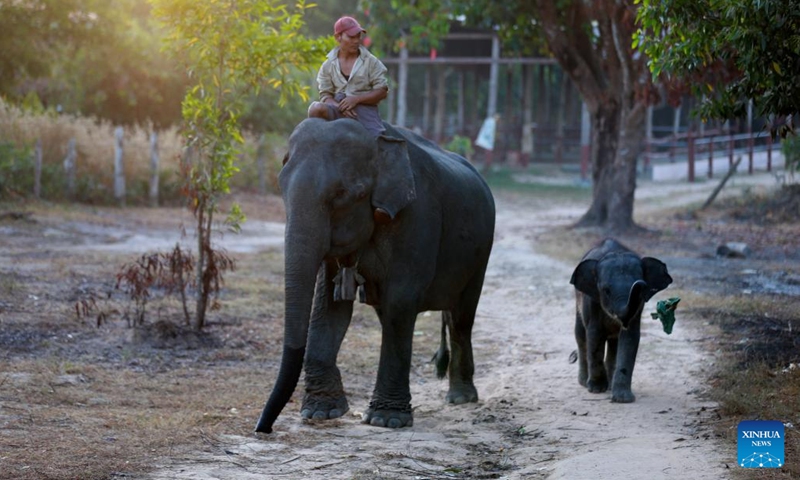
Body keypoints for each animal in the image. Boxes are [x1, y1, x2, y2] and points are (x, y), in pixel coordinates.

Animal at [256, 118, 494, 434]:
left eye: (342, 195)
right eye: (281, 187)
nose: (264, 428)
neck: (379, 144)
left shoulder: (418, 217)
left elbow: (400, 300)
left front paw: (386, 420)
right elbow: (330, 306)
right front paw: (320, 413)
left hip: (481, 254)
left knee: (460, 318)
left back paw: (460, 398)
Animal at [568, 239, 676, 402]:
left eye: (642, 291)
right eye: (606, 291)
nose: (641, 283)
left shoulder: (637, 308)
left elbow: (630, 337)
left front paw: (623, 399)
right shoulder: (592, 301)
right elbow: (595, 335)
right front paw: (597, 390)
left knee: (614, 343)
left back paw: (609, 385)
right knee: (580, 334)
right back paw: (584, 382)